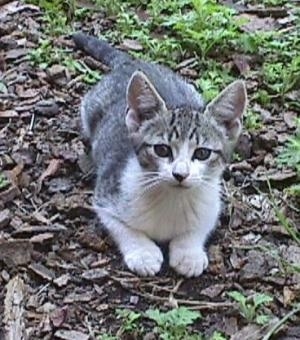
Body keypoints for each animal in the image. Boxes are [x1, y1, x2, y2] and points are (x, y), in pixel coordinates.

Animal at [74, 32, 247, 276]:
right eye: (162, 149)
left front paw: (188, 252)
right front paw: (143, 252)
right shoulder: (106, 195)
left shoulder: (212, 203)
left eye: (202, 153)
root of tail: (134, 62)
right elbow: (121, 226)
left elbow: (201, 226)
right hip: (90, 107)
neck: (173, 199)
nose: (180, 174)